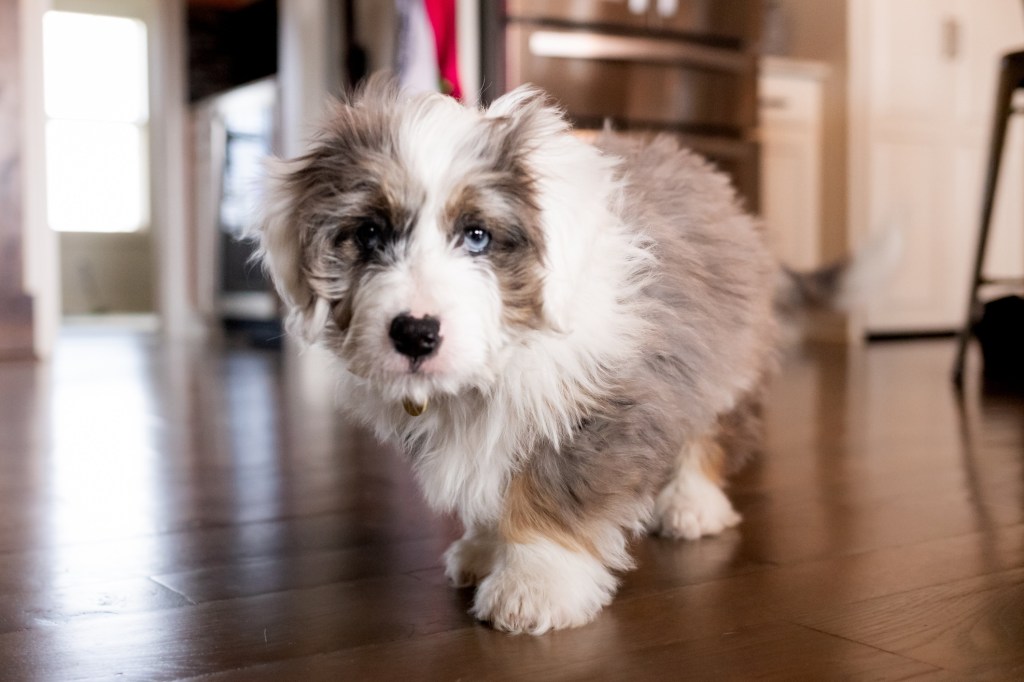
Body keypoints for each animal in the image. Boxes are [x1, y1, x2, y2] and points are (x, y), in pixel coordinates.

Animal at [260, 76, 778, 634]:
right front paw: (485, 549)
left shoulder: (591, 408)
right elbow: (488, 486)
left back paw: (691, 504)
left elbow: (551, 496)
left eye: (477, 235)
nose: (415, 334)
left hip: (721, 354)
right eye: (370, 233)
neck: (501, 357)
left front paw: (535, 588)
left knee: (711, 428)